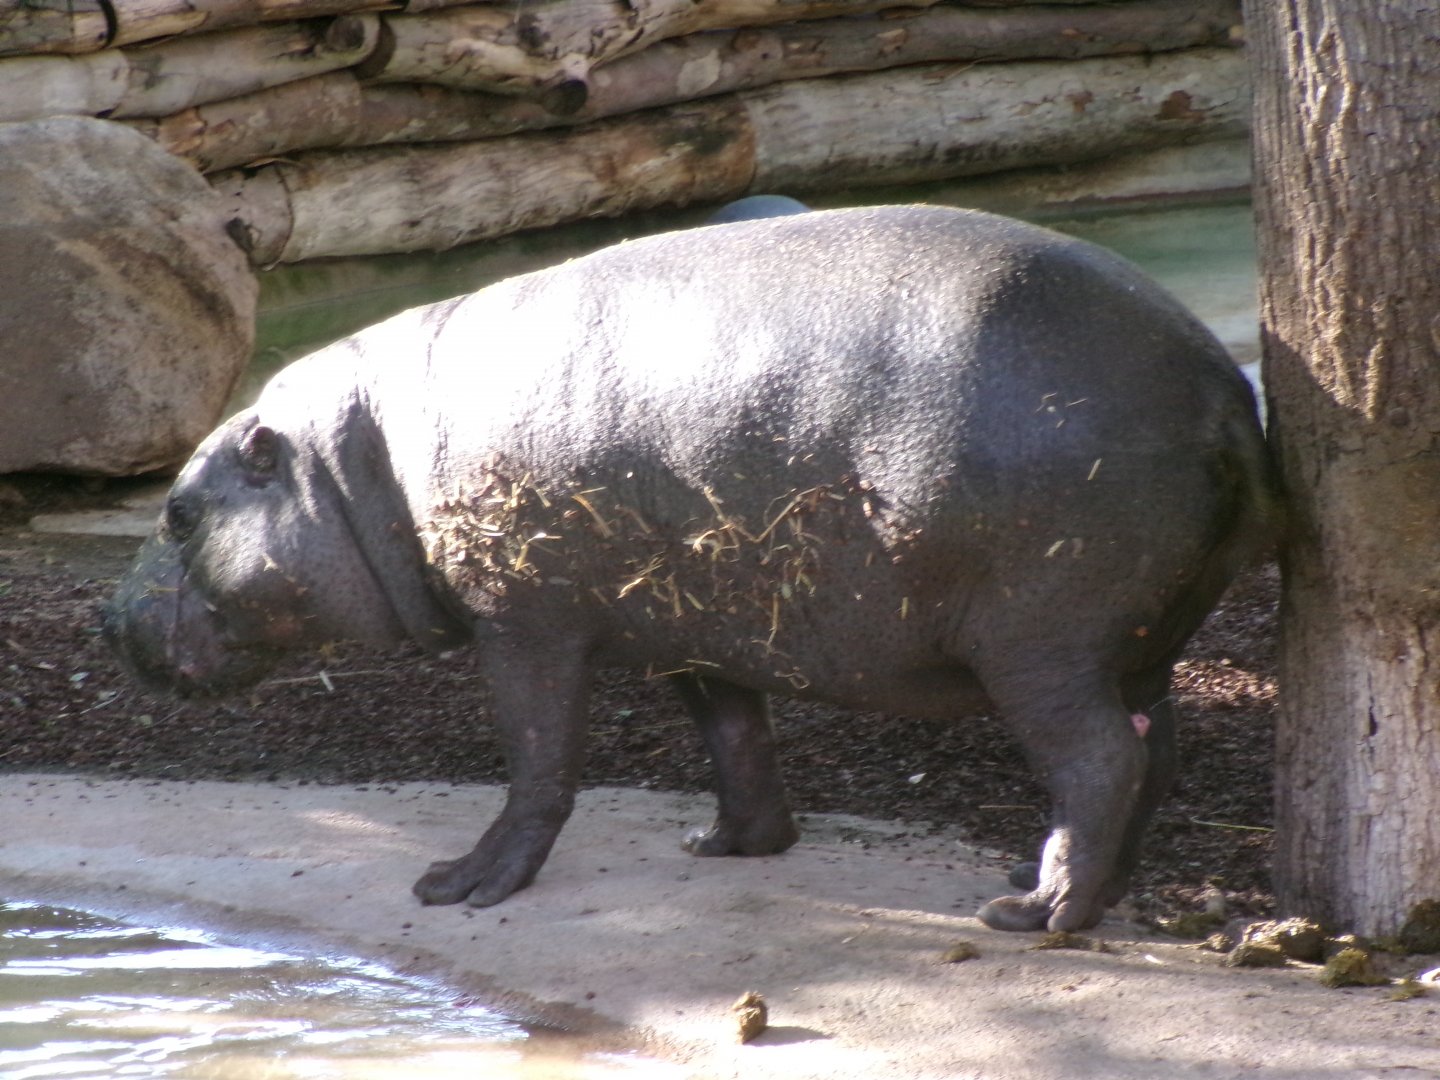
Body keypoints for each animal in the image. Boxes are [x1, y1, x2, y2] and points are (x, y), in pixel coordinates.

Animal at [105, 205, 1278, 933]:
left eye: (178, 510)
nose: (109, 623)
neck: (357, 461)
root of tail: (1221, 386)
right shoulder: (692, 622)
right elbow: (733, 736)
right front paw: (725, 845)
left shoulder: (524, 623)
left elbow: (539, 762)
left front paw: (458, 889)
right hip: (1143, 639)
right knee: (1156, 753)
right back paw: (1084, 891)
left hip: (1041, 644)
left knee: (1100, 762)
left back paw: (1029, 913)